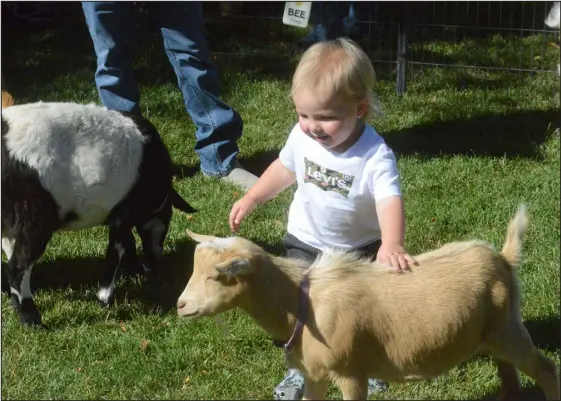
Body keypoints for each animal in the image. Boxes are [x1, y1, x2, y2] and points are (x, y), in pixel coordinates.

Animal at [1, 94, 197, 324]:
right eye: (168, 216)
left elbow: (128, 241)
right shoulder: (124, 212)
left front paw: (135, 270)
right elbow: (117, 248)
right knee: (17, 269)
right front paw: (105, 297)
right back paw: (33, 320)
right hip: (35, 219)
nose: (156, 258)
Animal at [177, 206, 556, 400]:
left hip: (508, 329)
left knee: (546, 369)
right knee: (509, 374)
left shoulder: (350, 372)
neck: (301, 302)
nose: (180, 306)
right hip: (491, 334)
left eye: (217, 276)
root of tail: (502, 258)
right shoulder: (314, 373)